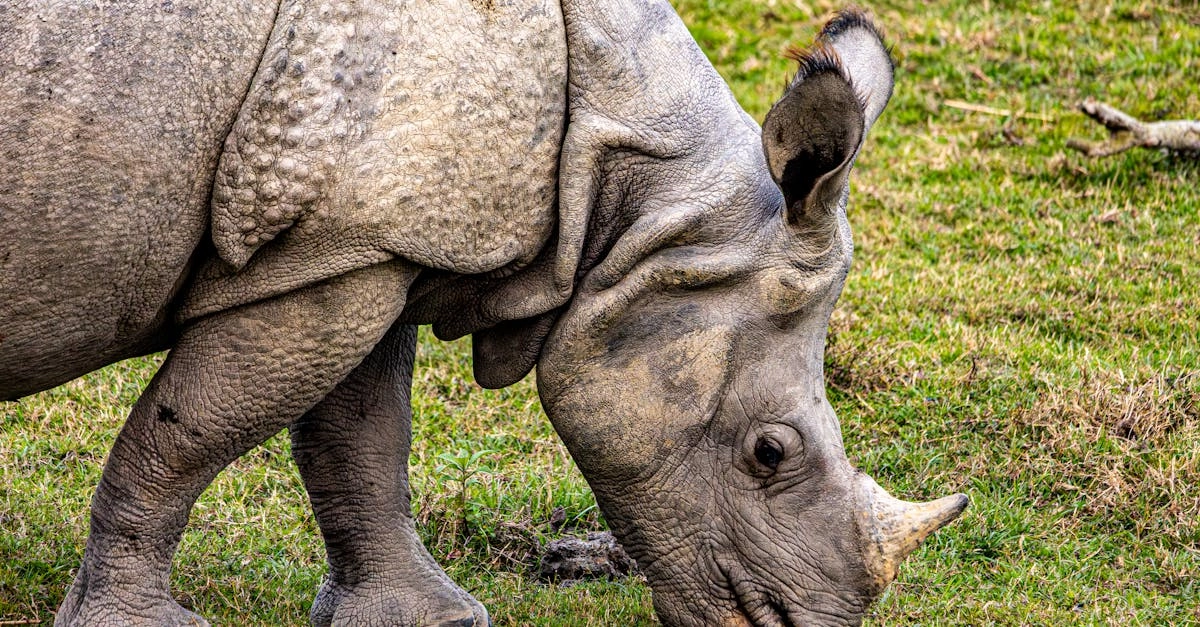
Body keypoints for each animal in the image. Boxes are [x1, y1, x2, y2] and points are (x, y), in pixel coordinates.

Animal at [0, 0, 967, 625]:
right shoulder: (335, 249)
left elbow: (361, 435)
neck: (643, 203)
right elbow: (183, 438)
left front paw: (425, 617)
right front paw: (137, 624)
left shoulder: (366, 241)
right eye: (769, 453)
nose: (813, 621)